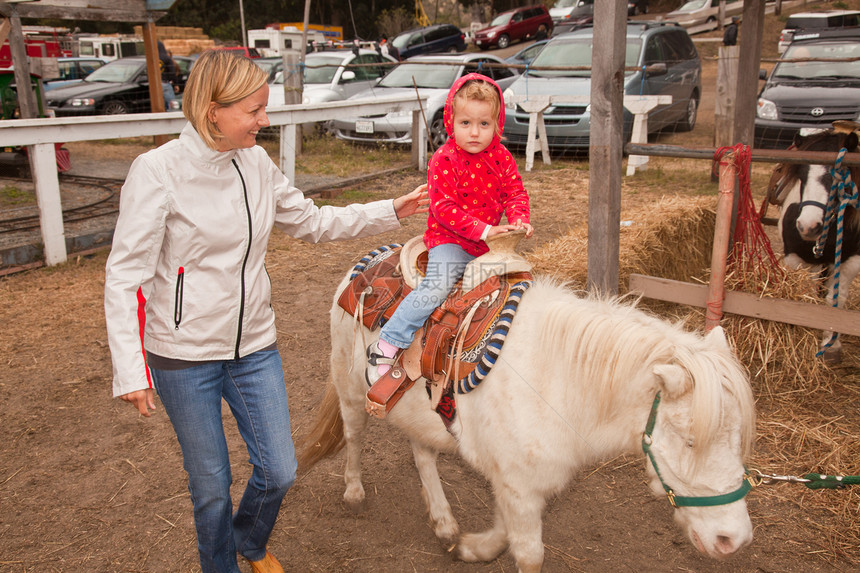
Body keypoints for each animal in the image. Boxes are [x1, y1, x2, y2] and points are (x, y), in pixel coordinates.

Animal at [298, 274, 756, 572]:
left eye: (737, 441)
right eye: (690, 440)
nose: (732, 540)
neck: (555, 379)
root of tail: (357, 272)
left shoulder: (518, 483)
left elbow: (505, 533)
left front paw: (470, 548)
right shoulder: (518, 486)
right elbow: (530, 554)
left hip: (417, 416)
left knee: (423, 454)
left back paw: (444, 522)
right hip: (351, 393)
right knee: (355, 437)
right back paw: (354, 492)